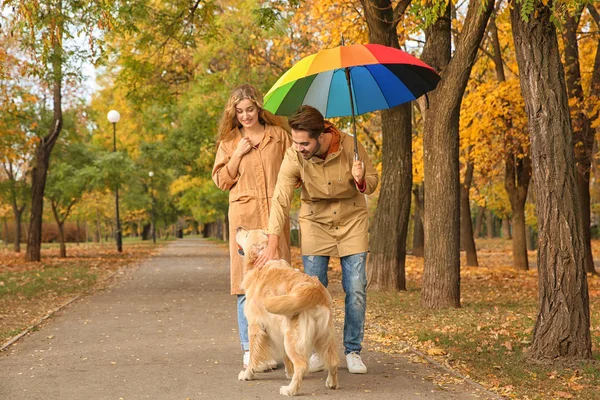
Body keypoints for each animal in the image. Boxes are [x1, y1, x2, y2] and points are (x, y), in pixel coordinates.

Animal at [234, 228, 338, 396]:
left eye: (248, 234)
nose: (238, 228)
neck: (262, 265)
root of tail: (314, 289)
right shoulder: (277, 329)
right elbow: (285, 357)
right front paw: (289, 372)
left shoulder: (255, 326)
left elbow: (253, 355)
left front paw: (248, 374)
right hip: (324, 336)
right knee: (333, 361)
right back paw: (331, 383)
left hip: (292, 338)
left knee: (302, 365)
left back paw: (290, 390)